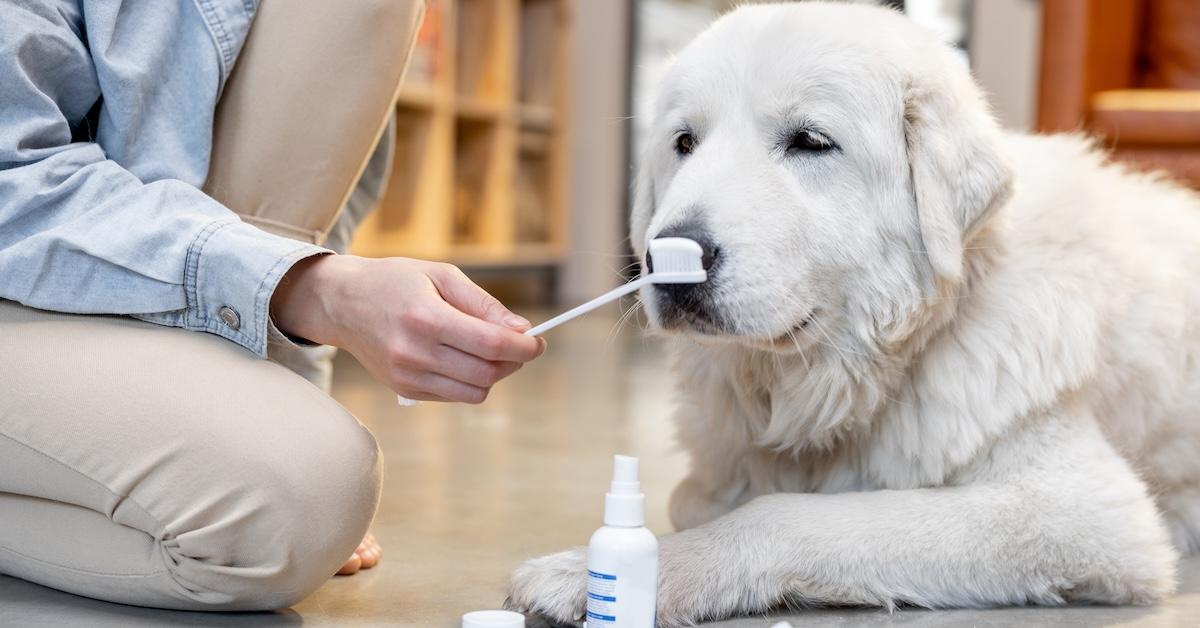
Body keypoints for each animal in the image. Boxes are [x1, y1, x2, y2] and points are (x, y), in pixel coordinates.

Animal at [506, 2, 1200, 624]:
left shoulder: (1086, 510)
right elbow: (696, 498)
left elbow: (785, 513)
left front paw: (623, 572)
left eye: (812, 141)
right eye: (684, 143)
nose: (665, 257)